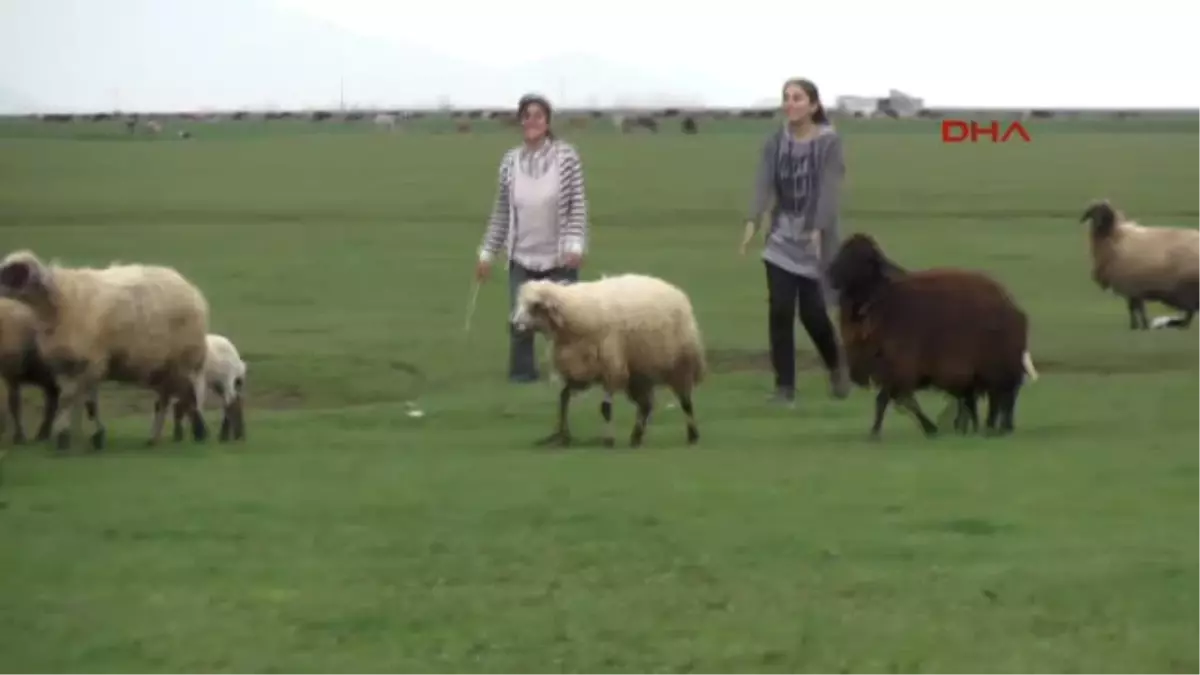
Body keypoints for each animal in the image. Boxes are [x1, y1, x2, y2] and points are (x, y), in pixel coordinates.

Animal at [508, 270, 710, 449]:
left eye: (535, 306)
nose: (513, 326)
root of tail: (674, 290)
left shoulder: (611, 368)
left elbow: (605, 408)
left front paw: (608, 440)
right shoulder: (579, 370)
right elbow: (563, 398)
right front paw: (563, 436)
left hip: (680, 365)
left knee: (685, 402)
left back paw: (692, 436)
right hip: (639, 373)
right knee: (645, 405)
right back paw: (636, 437)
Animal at [830, 234, 1036, 439]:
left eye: (864, 259)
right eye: (842, 252)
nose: (830, 275)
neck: (884, 299)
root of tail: (1011, 305)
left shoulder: (899, 366)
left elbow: (889, 399)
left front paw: (878, 431)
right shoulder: (887, 367)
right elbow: (903, 400)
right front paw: (931, 428)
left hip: (998, 365)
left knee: (1004, 398)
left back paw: (997, 428)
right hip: (987, 369)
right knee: (994, 399)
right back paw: (986, 427)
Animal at [1080, 196, 1200, 329]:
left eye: (1105, 212)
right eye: (1093, 212)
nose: (1098, 223)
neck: (1116, 235)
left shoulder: (1132, 287)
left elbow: (1134, 309)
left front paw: (1137, 326)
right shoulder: (1136, 289)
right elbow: (1137, 308)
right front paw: (1142, 325)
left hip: (1188, 287)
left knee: (1189, 313)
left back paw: (1178, 325)